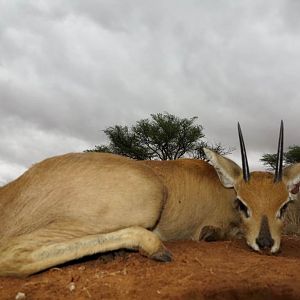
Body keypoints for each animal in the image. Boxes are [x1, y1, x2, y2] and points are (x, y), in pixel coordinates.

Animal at [0, 122, 298, 276]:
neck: (221, 188)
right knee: (11, 254)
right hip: (149, 197)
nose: (265, 243)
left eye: (284, 205)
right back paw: (151, 247)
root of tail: (13, 189)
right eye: (243, 204)